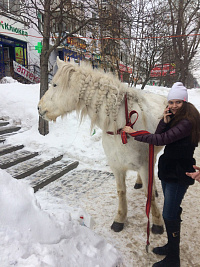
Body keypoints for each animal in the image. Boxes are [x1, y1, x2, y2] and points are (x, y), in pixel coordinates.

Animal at [38, 58, 166, 234]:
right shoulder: (117, 167)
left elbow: (149, 196)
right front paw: (119, 219)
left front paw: (158, 223)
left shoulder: (144, 165)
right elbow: (121, 192)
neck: (121, 128)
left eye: (55, 84)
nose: (39, 108)